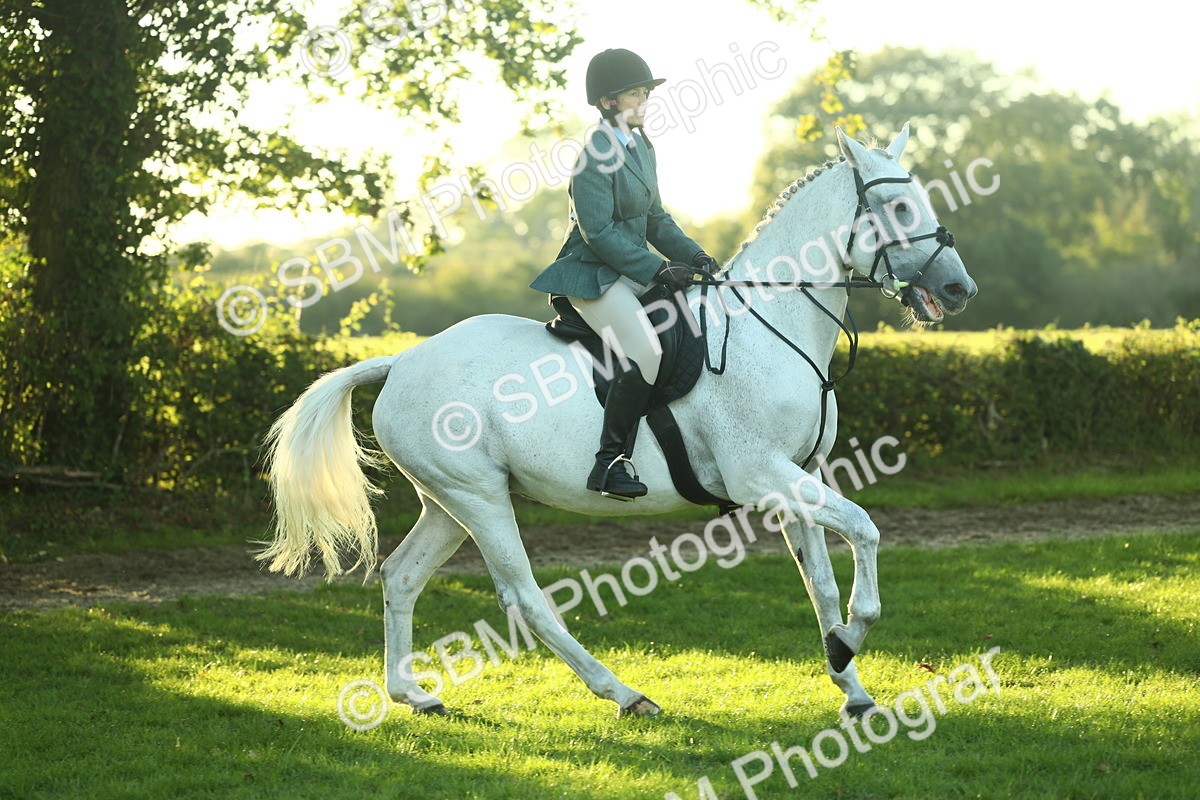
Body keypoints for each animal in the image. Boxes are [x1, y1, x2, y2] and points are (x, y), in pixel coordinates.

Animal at [257, 124, 978, 719]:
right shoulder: (760, 475)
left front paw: (849, 681)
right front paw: (852, 638)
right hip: (479, 497)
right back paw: (625, 694)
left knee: (402, 575)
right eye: (901, 209)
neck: (769, 326)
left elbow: (822, 582)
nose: (958, 289)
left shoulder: (797, 476)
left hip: (449, 500)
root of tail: (403, 361)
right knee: (524, 597)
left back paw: (412, 694)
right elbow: (866, 530)